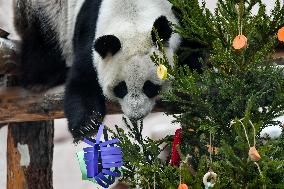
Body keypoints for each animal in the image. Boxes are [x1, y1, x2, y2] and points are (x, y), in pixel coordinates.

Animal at [12, 0, 200, 140]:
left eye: (150, 87)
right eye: (121, 88)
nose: (136, 114)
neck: (132, 14)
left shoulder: (180, 14)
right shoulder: (91, 32)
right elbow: (82, 79)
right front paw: (86, 125)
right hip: (46, 13)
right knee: (43, 44)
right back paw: (40, 79)